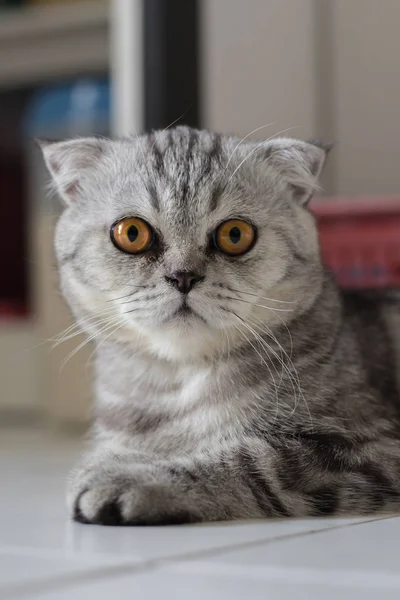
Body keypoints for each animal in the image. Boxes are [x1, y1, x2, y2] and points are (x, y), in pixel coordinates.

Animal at [39, 127, 400, 524]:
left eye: (235, 234)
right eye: (131, 233)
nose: (183, 276)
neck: (178, 386)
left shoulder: (366, 447)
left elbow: (249, 462)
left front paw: (130, 478)